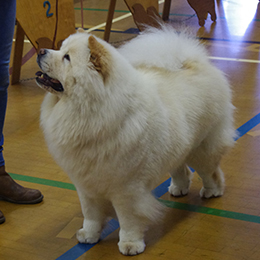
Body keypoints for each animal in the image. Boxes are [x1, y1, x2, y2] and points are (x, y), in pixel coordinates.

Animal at [36, 26, 236, 256]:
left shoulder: (126, 188)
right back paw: (178, 189)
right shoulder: (86, 184)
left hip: (201, 150)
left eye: (67, 58)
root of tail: (194, 63)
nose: (40, 51)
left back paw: (212, 192)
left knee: (211, 172)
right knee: (181, 170)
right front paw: (88, 235)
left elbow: (128, 219)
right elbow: (91, 214)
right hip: (176, 147)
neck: (88, 113)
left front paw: (130, 245)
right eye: (59, 49)